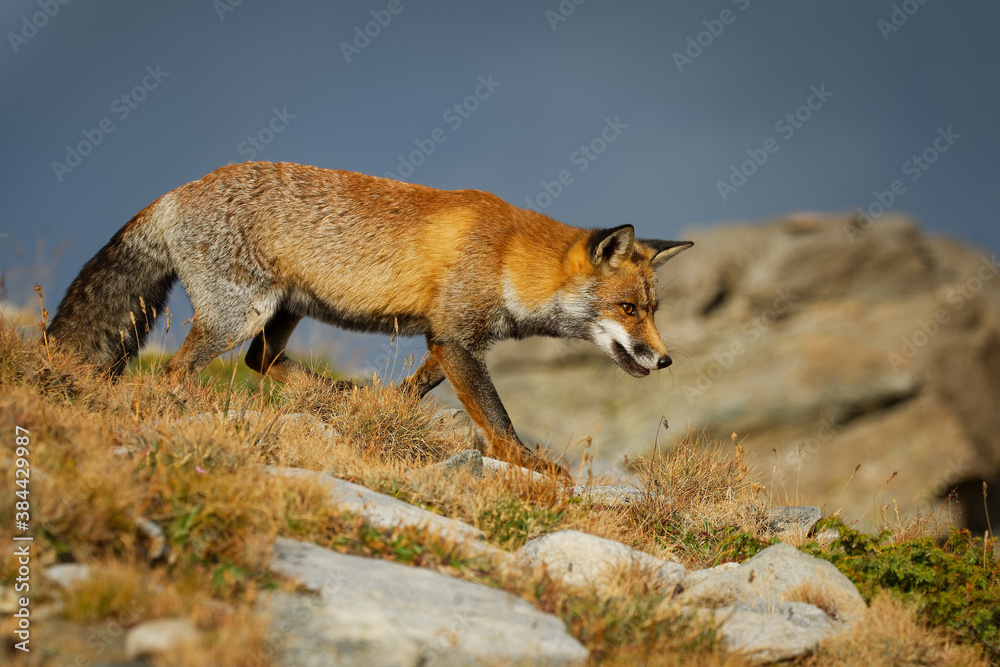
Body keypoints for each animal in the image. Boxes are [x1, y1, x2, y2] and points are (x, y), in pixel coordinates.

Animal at [47, 161, 692, 469]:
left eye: (653, 310)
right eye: (628, 309)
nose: (665, 360)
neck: (508, 257)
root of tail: (175, 192)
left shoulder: (447, 340)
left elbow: (413, 392)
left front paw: (379, 411)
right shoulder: (458, 342)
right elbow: (499, 421)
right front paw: (534, 470)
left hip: (283, 311)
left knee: (261, 361)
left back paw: (332, 395)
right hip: (239, 315)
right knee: (178, 372)